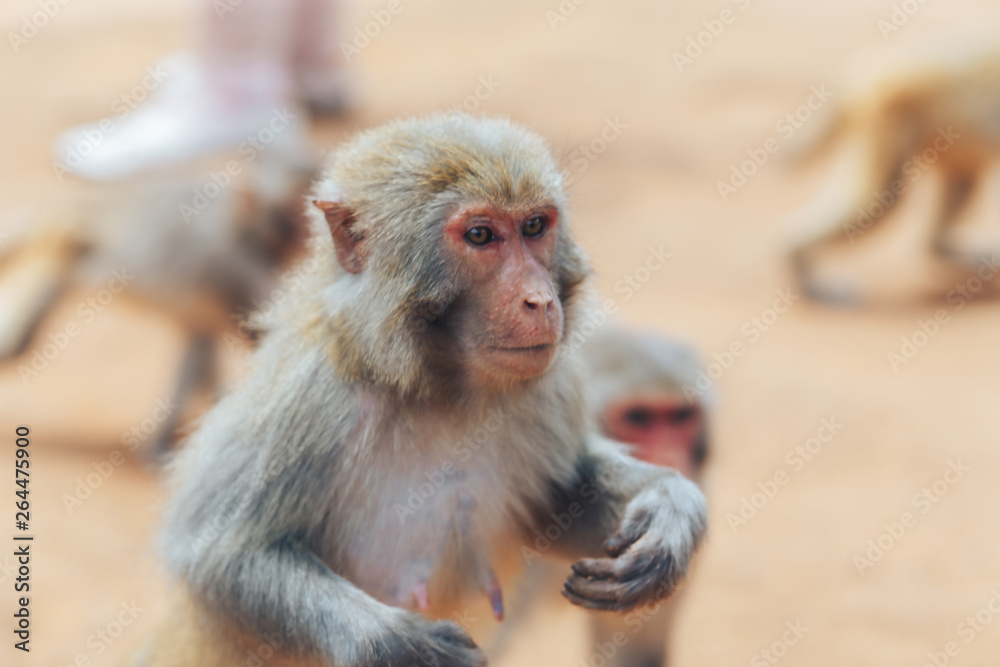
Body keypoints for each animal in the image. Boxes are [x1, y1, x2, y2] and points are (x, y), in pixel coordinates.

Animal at [0, 154, 312, 458]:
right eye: (295, 215)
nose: (307, 233)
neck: (244, 230)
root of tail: (92, 204)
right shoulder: (240, 268)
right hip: (65, 245)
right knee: (17, 345)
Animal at [140, 114, 708, 667]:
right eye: (480, 235)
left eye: (534, 226)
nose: (540, 301)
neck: (433, 384)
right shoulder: (308, 396)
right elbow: (218, 553)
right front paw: (397, 646)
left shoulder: (548, 386)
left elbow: (559, 502)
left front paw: (670, 509)